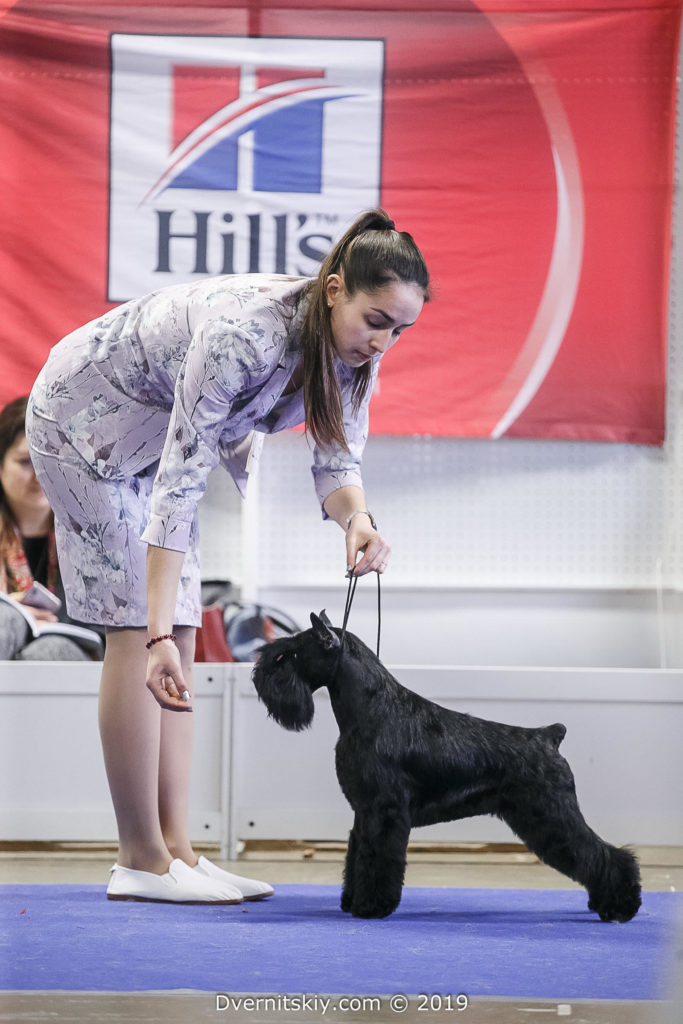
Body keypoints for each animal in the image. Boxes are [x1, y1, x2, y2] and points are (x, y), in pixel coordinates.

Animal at [252, 606, 643, 921]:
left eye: (288, 655)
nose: (257, 676)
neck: (371, 710)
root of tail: (549, 736)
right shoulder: (363, 813)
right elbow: (358, 855)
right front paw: (351, 901)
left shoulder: (385, 812)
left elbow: (379, 860)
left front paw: (372, 906)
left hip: (551, 814)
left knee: (603, 854)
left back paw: (620, 907)